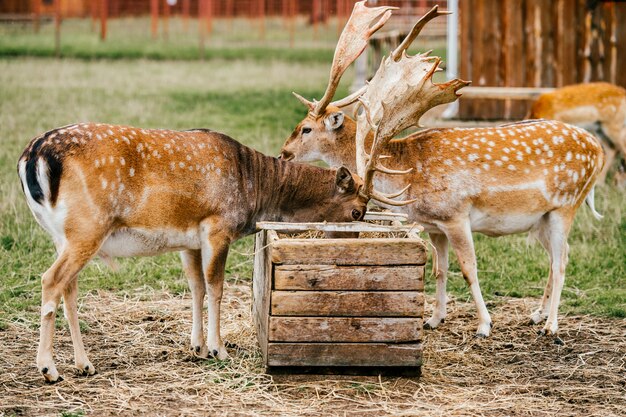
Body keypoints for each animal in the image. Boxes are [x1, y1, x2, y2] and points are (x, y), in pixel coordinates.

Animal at [15, 0, 424, 384]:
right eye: (357, 211)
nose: (352, 239)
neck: (254, 189)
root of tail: (33, 154)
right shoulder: (217, 224)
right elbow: (216, 287)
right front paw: (218, 348)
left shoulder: (189, 237)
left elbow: (195, 287)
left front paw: (195, 346)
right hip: (88, 225)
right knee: (51, 281)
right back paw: (49, 368)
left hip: (62, 232)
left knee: (69, 287)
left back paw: (84, 364)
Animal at [280, 4, 604, 340]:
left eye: (306, 129)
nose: (283, 152)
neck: (406, 176)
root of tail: (598, 149)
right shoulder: (435, 226)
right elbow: (439, 269)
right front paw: (434, 319)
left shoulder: (456, 215)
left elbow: (469, 270)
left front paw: (484, 325)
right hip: (540, 219)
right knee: (558, 257)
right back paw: (537, 315)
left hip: (566, 205)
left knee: (561, 262)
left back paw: (551, 326)